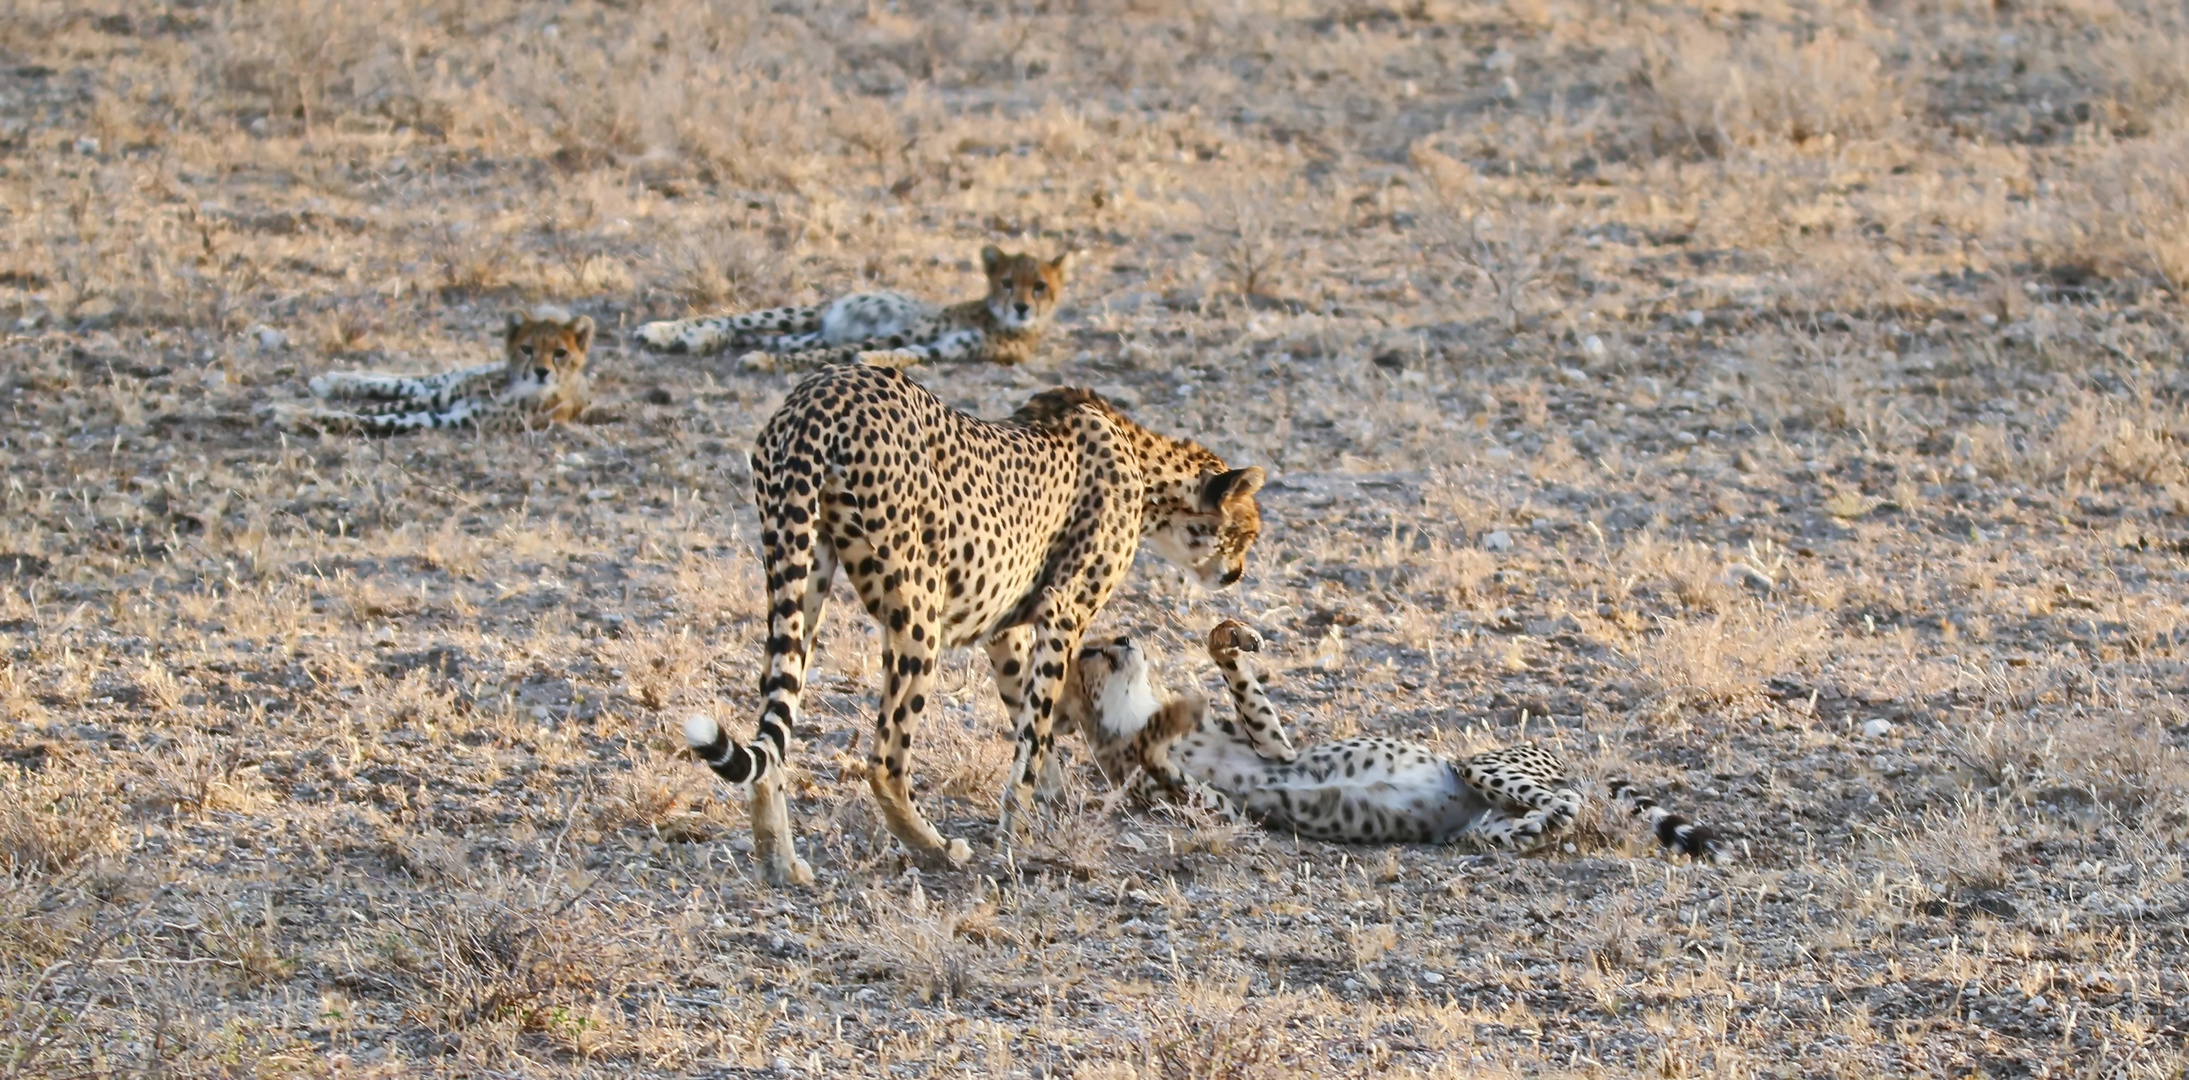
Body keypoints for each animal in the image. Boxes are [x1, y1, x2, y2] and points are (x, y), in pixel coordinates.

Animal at [273, 304, 599, 431]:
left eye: (560, 353)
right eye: (527, 349)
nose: (542, 372)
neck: (516, 385)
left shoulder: (449, 417)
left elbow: (376, 417)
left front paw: (299, 415)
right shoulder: (444, 402)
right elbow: (382, 405)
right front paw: (300, 411)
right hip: (449, 386)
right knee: (414, 381)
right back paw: (334, 380)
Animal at [634, 243, 1068, 370]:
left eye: (1040, 287)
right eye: (1008, 283)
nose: (1021, 308)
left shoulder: (943, 347)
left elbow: (899, 353)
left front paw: (873, 359)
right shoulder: (908, 331)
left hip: (805, 330)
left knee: (764, 337)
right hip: (799, 313)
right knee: (733, 321)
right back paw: (664, 331)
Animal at [682, 363, 1269, 885]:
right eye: (1247, 531)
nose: (1237, 573)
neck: (1143, 465)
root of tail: (819, 393)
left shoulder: (1006, 627)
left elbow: (1030, 719)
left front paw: (1047, 803)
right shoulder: (1063, 611)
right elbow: (1033, 734)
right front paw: (1017, 832)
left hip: (800, 579)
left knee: (772, 732)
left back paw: (780, 864)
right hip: (918, 610)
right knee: (885, 759)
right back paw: (938, 849)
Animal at [1068, 622, 1733, 858]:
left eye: (1106, 639)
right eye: (1090, 651)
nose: (1124, 640)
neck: (1132, 709)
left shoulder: (1276, 751)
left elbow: (1233, 674)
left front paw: (1231, 637)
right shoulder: (1224, 807)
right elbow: (1166, 768)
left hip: (1478, 763)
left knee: (1568, 800)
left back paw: (1544, 818)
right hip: (1478, 822)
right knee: (1548, 817)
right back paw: (1530, 830)